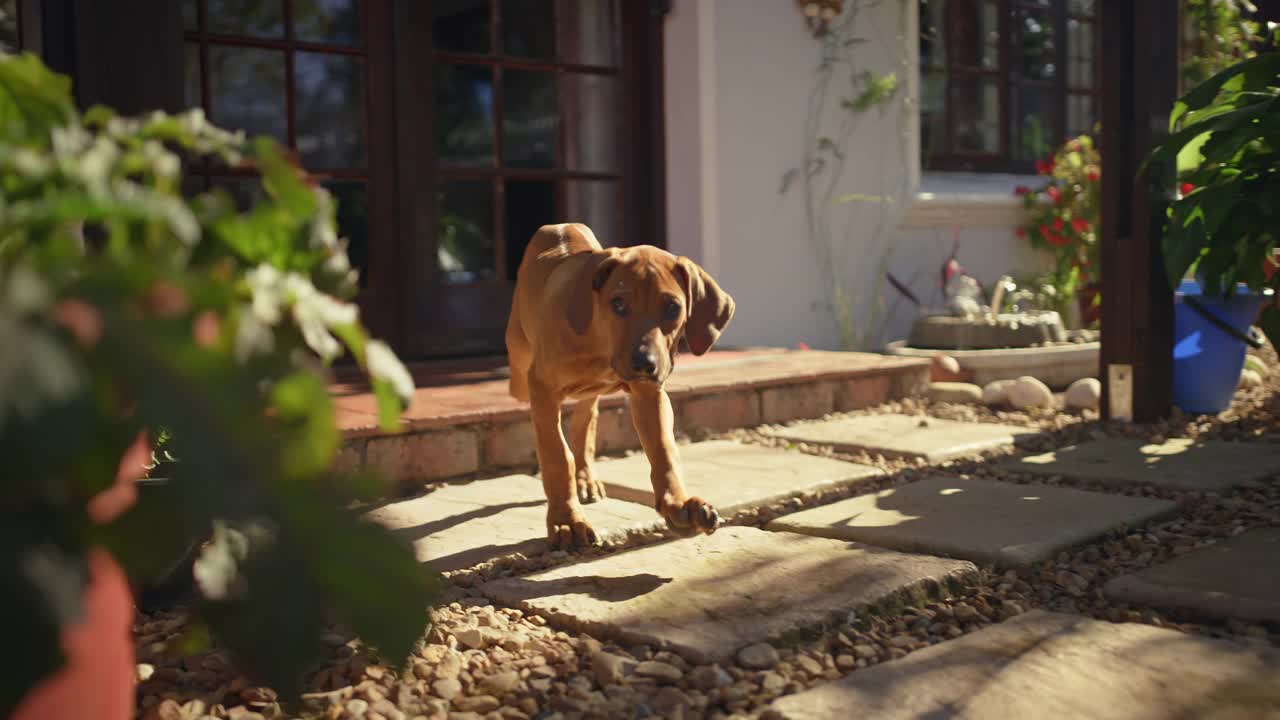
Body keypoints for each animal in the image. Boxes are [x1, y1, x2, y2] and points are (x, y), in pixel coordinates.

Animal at [504, 221, 737, 545]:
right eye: (618, 304)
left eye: (673, 308)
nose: (644, 364)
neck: (600, 345)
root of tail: (559, 225)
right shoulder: (542, 387)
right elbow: (557, 455)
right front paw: (567, 521)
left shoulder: (649, 393)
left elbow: (663, 448)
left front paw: (678, 505)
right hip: (520, 371)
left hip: (590, 393)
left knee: (585, 421)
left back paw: (586, 478)